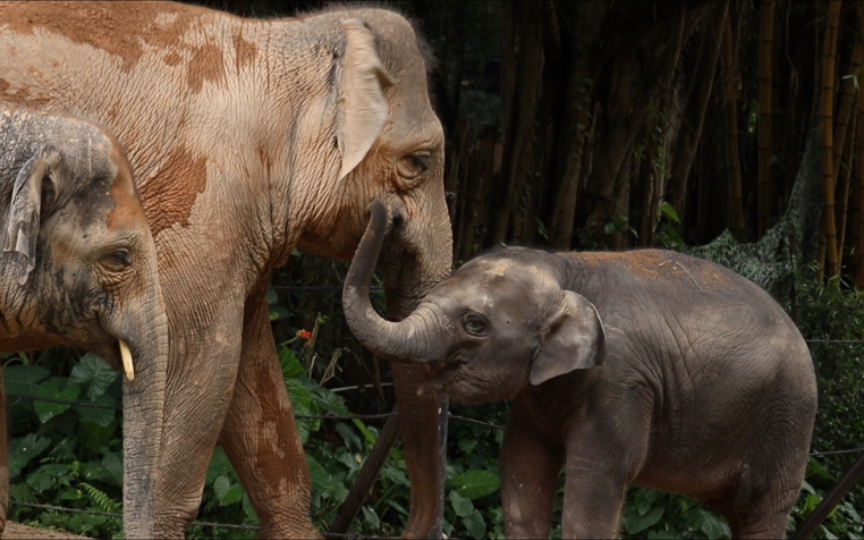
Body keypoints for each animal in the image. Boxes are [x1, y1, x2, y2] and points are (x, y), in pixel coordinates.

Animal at [342, 201, 816, 540]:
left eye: (475, 324)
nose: (386, 209)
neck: (566, 268)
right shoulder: (536, 396)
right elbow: (522, 473)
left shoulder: (621, 383)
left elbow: (596, 487)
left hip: (788, 422)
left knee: (761, 512)